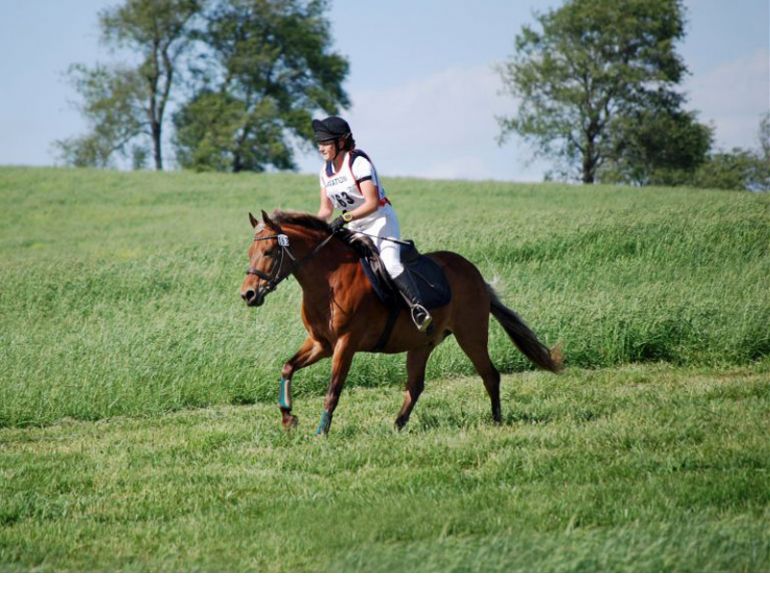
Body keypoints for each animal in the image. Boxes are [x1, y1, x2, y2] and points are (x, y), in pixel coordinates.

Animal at [240, 209, 562, 435]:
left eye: (269, 252)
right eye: (250, 253)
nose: (248, 294)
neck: (328, 279)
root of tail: (474, 272)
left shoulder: (346, 344)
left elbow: (333, 390)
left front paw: (321, 432)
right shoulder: (321, 343)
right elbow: (288, 367)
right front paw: (288, 417)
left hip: (471, 335)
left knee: (490, 375)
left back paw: (496, 421)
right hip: (422, 343)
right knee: (415, 386)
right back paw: (397, 425)